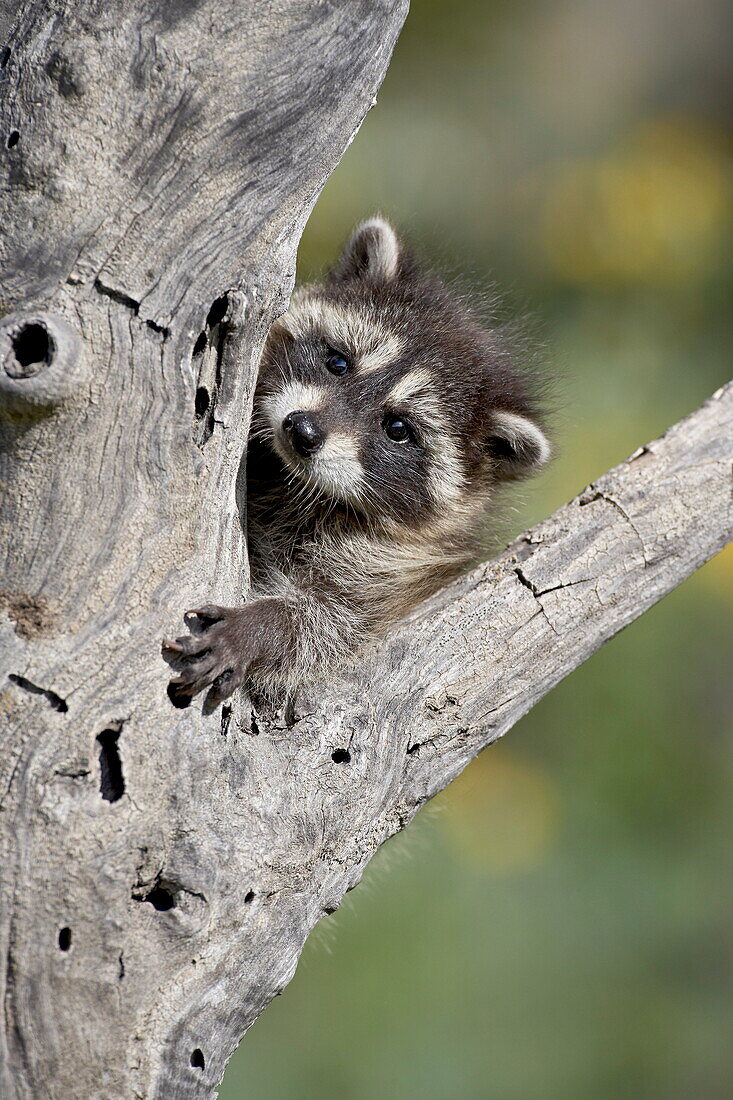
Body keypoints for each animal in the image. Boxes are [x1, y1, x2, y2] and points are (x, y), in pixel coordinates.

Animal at [161, 218, 548, 708]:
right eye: (338, 362)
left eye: (398, 428)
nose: (302, 431)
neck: (294, 483)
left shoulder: (393, 564)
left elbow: (328, 624)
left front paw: (262, 628)